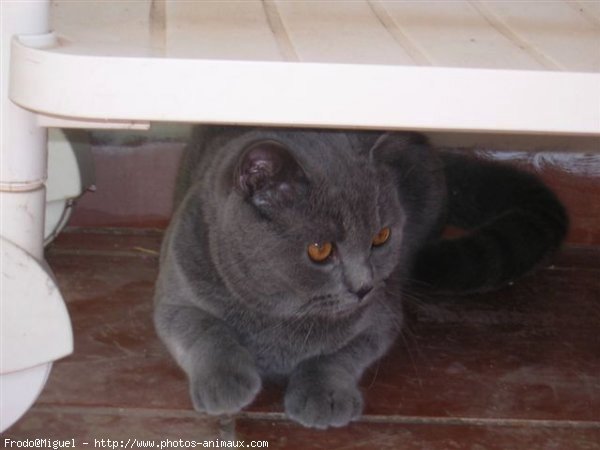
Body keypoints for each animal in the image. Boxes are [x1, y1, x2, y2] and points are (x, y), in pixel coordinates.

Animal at [155, 125, 568, 428]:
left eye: (381, 236)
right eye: (320, 250)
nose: (364, 286)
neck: (281, 314)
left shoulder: (382, 317)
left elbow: (338, 355)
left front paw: (324, 397)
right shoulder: (176, 286)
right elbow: (204, 329)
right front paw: (224, 384)